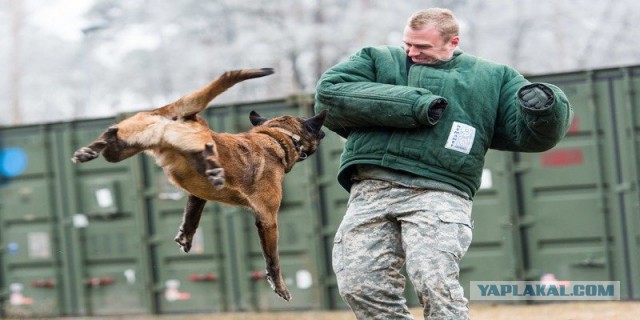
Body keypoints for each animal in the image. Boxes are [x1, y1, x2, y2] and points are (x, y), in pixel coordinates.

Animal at [72, 67, 328, 300]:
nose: (325, 132)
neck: (275, 137)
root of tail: (182, 115)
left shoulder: (197, 195)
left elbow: (192, 216)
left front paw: (185, 236)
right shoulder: (267, 218)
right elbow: (272, 259)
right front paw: (279, 286)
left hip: (125, 146)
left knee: (112, 135)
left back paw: (90, 150)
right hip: (195, 139)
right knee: (204, 148)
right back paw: (212, 167)